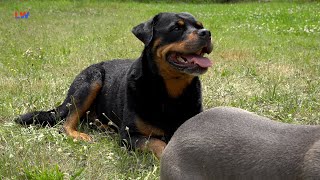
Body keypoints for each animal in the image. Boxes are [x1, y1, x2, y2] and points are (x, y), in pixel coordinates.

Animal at [16, 12, 214, 159]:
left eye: (199, 25)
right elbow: (158, 143)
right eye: (176, 28)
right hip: (91, 80)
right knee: (66, 122)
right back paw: (80, 134)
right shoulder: (130, 135)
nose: (206, 32)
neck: (170, 92)